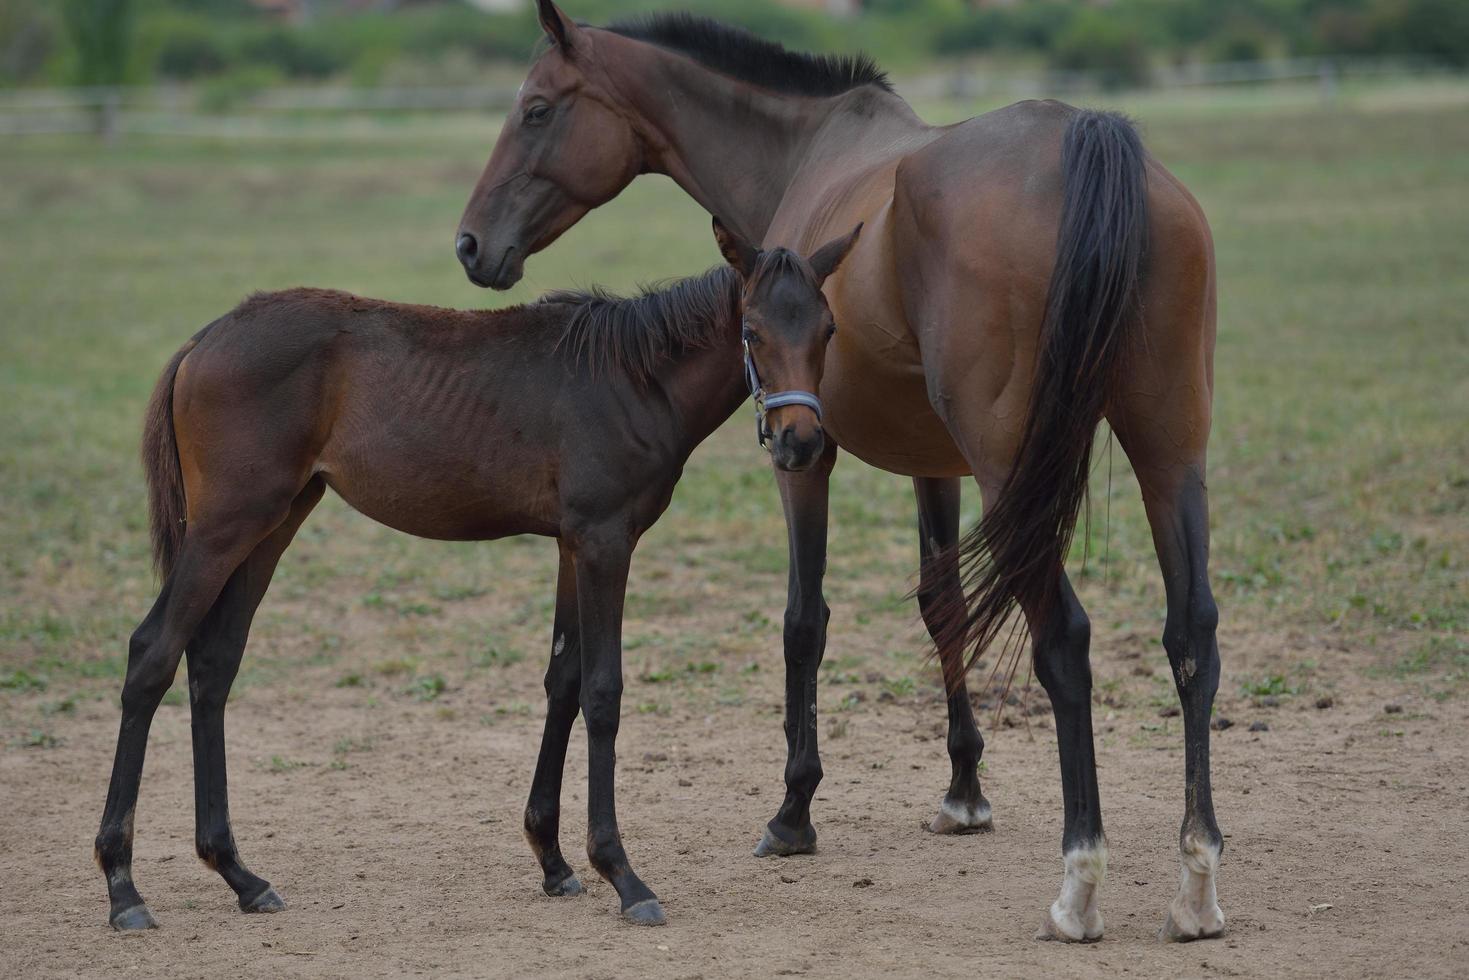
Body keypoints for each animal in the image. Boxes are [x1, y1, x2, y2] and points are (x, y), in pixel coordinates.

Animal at [94, 226, 857, 934]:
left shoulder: (570, 545)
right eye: (752, 331)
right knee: (153, 654)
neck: (631, 377)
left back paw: (240, 875)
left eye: (827, 331)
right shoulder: (604, 541)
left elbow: (563, 681)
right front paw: (622, 875)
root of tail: (206, 338)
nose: (800, 443)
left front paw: (553, 861)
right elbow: (603, 693)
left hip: (273, 522)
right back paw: (123, 887)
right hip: (227, 524)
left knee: (212, 663)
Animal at [455, 3, 1228, 946]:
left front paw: (793, 812)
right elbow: (942, 608)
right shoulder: (935, 465)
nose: (471, 244)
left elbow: (803, 621)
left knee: (1066, 640)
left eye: (535, 108)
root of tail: (1089, 140)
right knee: (1191, 634)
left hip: (1019, 471)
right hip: (1168, 454)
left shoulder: (803, 454)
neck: (801, 152)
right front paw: (963, 794)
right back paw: (1195, 880)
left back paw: (1078, 883)